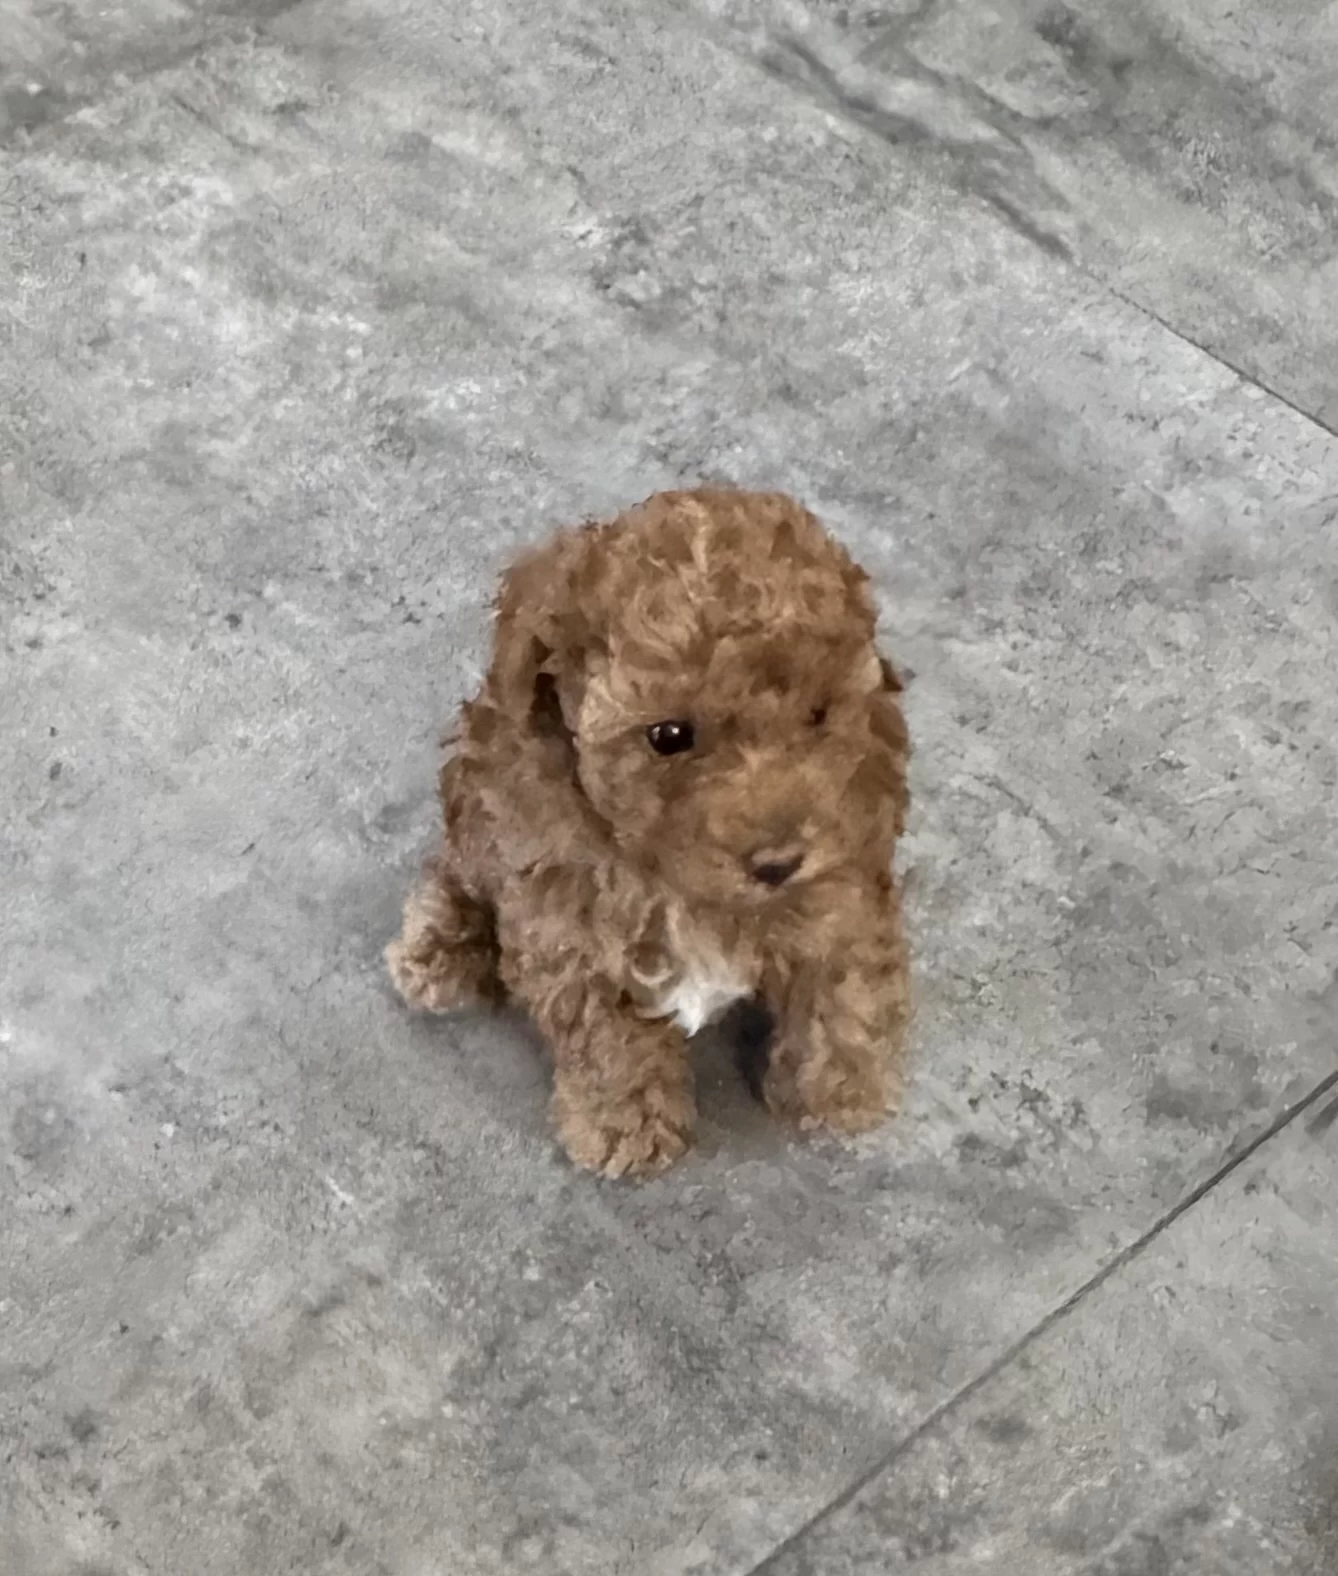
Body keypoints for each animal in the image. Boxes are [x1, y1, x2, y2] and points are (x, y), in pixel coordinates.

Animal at [387, 488, 912, 1176]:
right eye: (668, 736)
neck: (675, 880)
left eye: (819, 715)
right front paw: (627, 1127)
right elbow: (608, 1041)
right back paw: (439, 949)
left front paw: (838, 1090)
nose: (778, 862)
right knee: (459, 873)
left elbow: (845, 986)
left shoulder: (848, 869)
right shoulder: (565, 927)